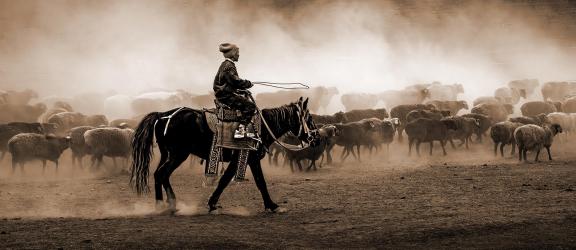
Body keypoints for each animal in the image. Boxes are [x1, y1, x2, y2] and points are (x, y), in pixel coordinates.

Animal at [130, 97, 318, 213]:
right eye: (309, 118)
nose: (316, 138)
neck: (261, 127)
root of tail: (163, 116)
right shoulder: (249, 158)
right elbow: (259, 182)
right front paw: (272, 205)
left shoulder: (241, 160)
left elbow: (226, 180)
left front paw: (212, 203)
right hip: (178, 154)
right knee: (162, 174)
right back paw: (166, 204)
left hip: (167, 154)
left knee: (159, 175)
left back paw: (164, 204)